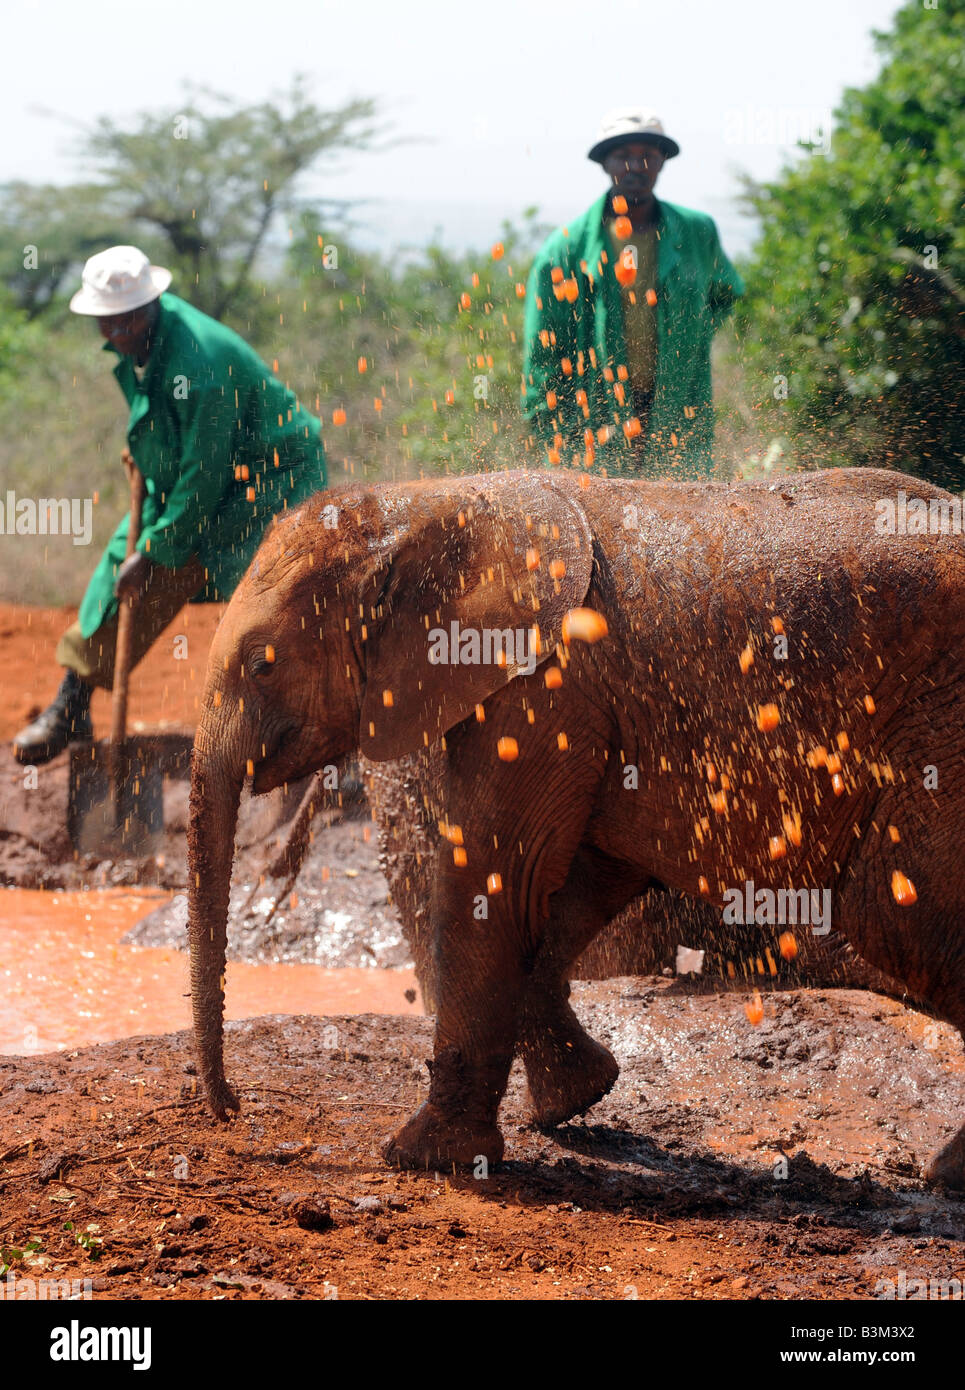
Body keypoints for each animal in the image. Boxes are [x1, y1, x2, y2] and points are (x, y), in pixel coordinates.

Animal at [187, 467, 965, 1184]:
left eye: (261, 664)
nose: (230, 1111)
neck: (427, 499)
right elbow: (568, 884)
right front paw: (574, 1100)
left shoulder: (545, 687)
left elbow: (496, 882)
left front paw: (420, 1158)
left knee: (900, 914)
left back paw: (945, 1174)